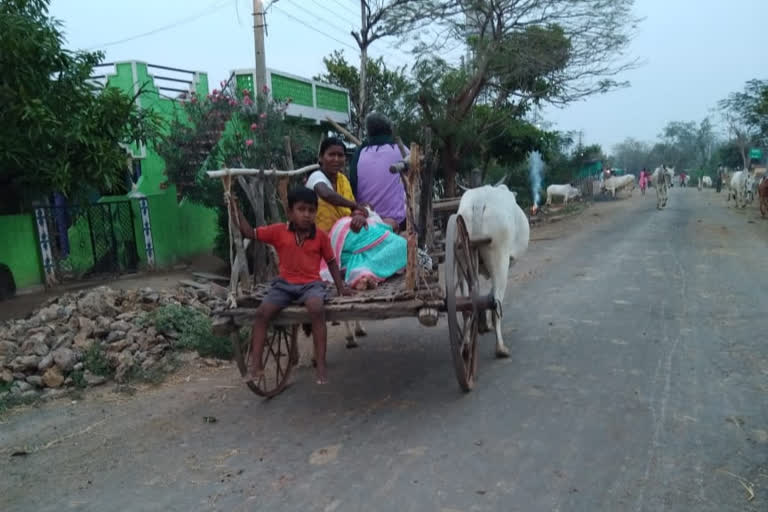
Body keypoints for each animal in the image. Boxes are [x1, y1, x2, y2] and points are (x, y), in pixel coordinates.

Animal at [456, 184, 528, 356]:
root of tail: (479, 201)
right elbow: (491, 295)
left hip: (460, 251)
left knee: (466, 306)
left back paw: (467, 342)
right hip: (500, 259)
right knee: (496, 302)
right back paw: (500, 347)